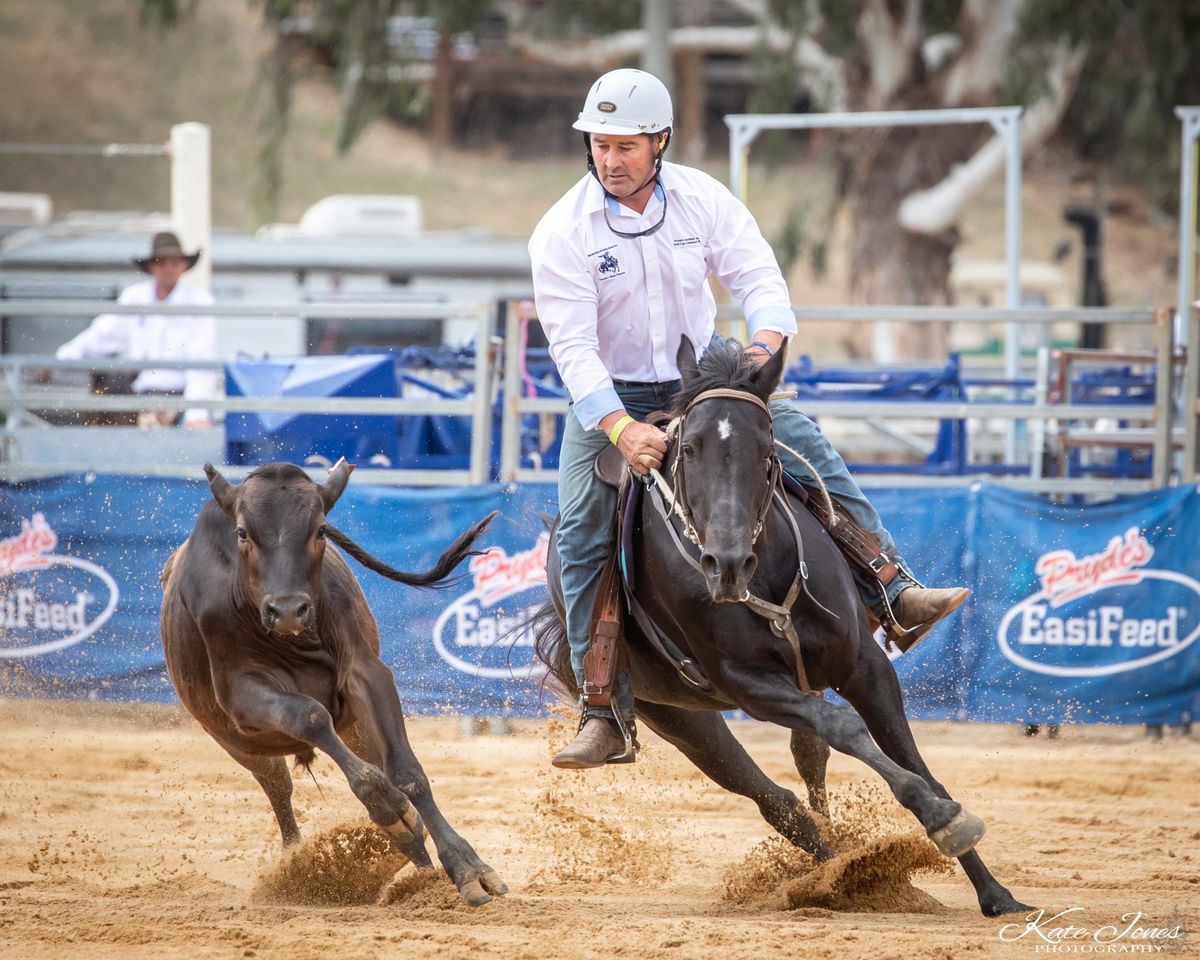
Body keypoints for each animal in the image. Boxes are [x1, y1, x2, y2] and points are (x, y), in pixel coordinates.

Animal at [159, 460, 506, 902]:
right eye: (242, 533)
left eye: (320, 529)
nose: (288, 610)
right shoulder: (239, 696)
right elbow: (310, 717)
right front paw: (388, 809)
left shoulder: (366, 673)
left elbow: (407, 773)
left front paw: (467, 866)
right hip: (240, 745)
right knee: (279, 790)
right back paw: (295, 864)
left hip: (354, 727)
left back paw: (422, 870)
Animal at [537, 338, 1032, 916]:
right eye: (688, 450)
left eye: (765, 445)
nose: (726, 565)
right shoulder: (749, 686)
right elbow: (846, 729)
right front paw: (940, 821)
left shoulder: (865, 665)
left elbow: (911, 759)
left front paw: (994, 890)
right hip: (677, 716)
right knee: (777, 800)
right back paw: (839, 876)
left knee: (808, 762)